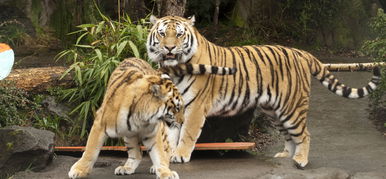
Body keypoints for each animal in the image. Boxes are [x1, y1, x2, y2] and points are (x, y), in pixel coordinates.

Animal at [68, 57, 235, 179]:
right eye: (177, 107)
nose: (182, 122)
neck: (141, 118)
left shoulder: (153, 133)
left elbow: (159, 153)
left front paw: (165, 172)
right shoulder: (99, 124)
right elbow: (90, 151)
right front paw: (78, 170)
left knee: (165, 149)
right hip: (128, 135)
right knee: (136, 153)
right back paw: (126, 167)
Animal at [146, 15, 382, 168]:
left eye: (179, 35)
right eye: (162, 34)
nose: (169, 48)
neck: (174, 68)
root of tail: (302, 53)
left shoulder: (195, 107)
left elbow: (186, 134)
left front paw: (180, 155)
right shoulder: (176, 105)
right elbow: (171, 134)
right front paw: (169, 154)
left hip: (292, 108)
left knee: (304, 134)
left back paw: (300, 161)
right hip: (275, 111)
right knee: (289, 136)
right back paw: (285, 157)